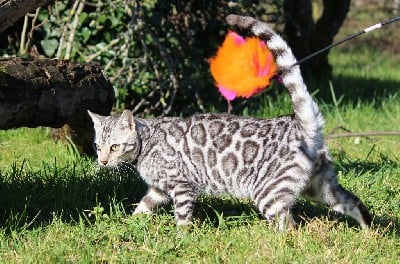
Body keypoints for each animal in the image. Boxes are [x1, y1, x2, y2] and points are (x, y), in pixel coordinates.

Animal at [88, 14, 372, 230]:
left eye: (114, 146)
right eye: (97, 146)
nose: (102, 162)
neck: (147, 141)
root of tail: (302, 125)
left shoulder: (182, 186)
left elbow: (182, 219)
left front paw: (180, 238)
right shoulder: (158, 190)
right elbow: (142, 208)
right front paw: (129, 225)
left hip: (270, 193)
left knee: (290, 227)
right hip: (320, 187)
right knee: (353, 203)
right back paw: (370, 233)